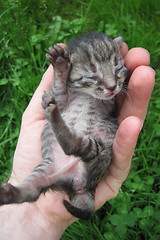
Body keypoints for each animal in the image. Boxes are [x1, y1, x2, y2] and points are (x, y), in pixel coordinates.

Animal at [0, 31, 129, 219]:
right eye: (92, 74)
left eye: (117, 68)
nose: (112, 86)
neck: (85, 94)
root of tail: (80, 186)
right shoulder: (61, 99)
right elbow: (59, 90)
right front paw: (60, 67)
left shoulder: (109, 106)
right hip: (46, 170)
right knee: (32, 191)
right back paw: (8, 193)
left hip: (103, 152)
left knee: (78, 148)